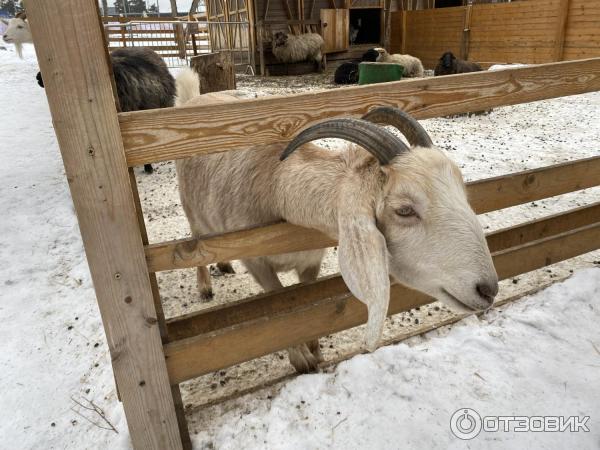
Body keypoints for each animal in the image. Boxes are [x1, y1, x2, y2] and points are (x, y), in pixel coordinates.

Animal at [176, 70, 500, 372]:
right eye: (405, 210)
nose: (488, 290)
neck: (277, 187)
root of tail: (195, 98)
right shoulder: (257, 264)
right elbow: (279, 310)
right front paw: (302, 359)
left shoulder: (311, 262)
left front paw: (315, 350)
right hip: (191, 208)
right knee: (196, 242)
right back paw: (205, 286)